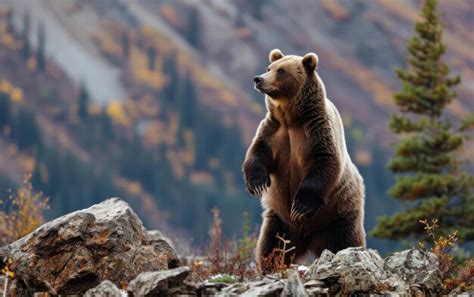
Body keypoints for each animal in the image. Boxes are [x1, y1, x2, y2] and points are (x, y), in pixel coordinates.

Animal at [243, 49, 364, 272]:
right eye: (269, 67)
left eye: (281, 71)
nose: (258, 79)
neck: (291, 118)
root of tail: (310, 239)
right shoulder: (274, 131)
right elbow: (258, 152)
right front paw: (257, 183)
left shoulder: (316, 131)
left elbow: (324, 163)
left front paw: (300, 206)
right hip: (281, 223)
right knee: (271, 246)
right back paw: (270, 266)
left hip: (338, 215)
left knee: (345, 242)